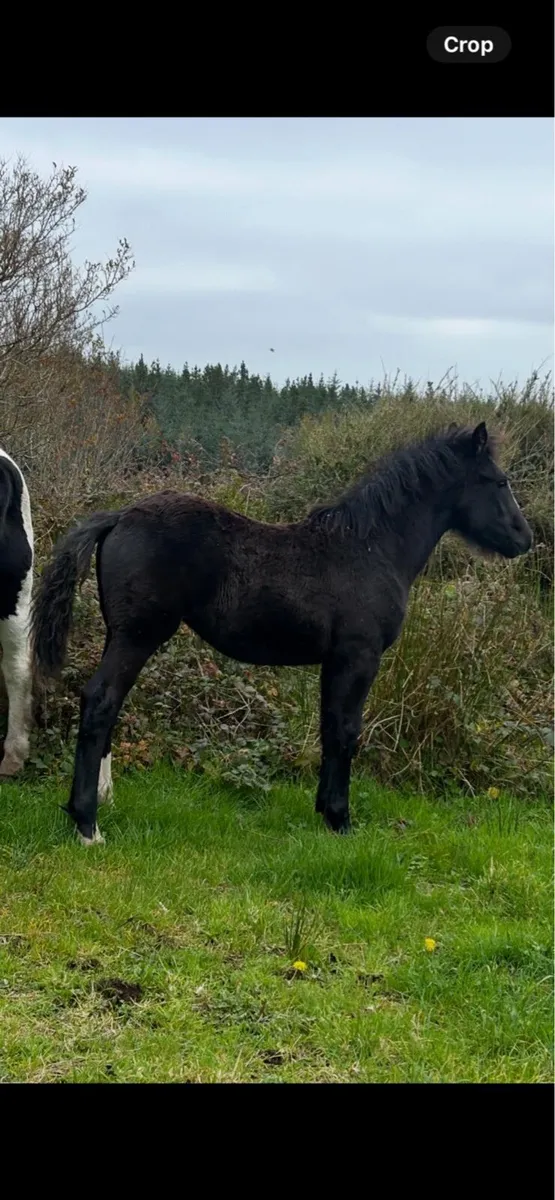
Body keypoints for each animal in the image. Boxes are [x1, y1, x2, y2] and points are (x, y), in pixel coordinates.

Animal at [30, 421, 532, 846]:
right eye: (499, 481)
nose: (524, 539)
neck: (371, 549)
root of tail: (119, 516)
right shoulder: (359, 656)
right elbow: (347, 730)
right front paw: (341, 820)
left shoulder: (335, 662)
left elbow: (329, 728)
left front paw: (325, 812)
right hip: (138, 635)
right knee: (101, 701)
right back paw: (88, 825)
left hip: (121, 635)